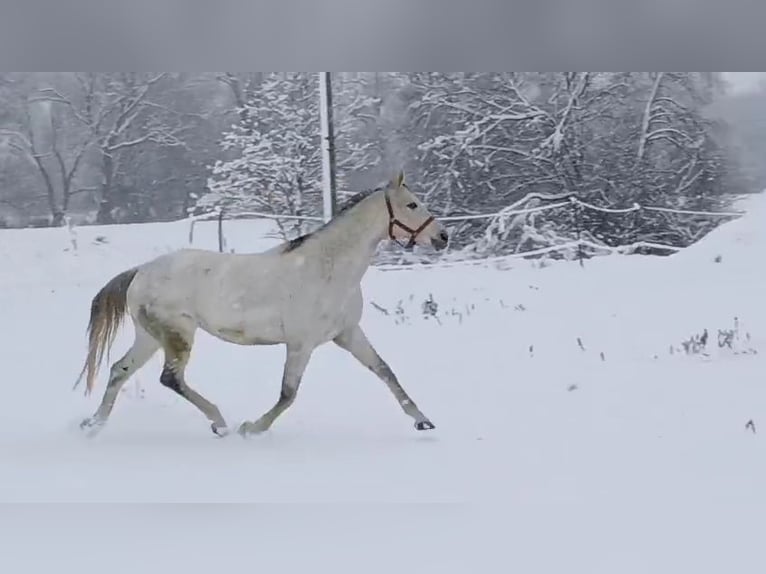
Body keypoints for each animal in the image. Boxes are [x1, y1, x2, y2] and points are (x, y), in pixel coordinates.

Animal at [75, 171, 449, 438]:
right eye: (412, 204)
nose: (443, 237)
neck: (328, 268)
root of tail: (140, 271)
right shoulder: (301, 343)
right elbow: (288, 393)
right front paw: (252, 428)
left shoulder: (347, 334)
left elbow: (385, 371)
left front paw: (423, 420)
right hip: (178, 334)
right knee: (171, 378)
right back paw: (220, 423)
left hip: (150, 337)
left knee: (119, 370)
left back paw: (93, 425)